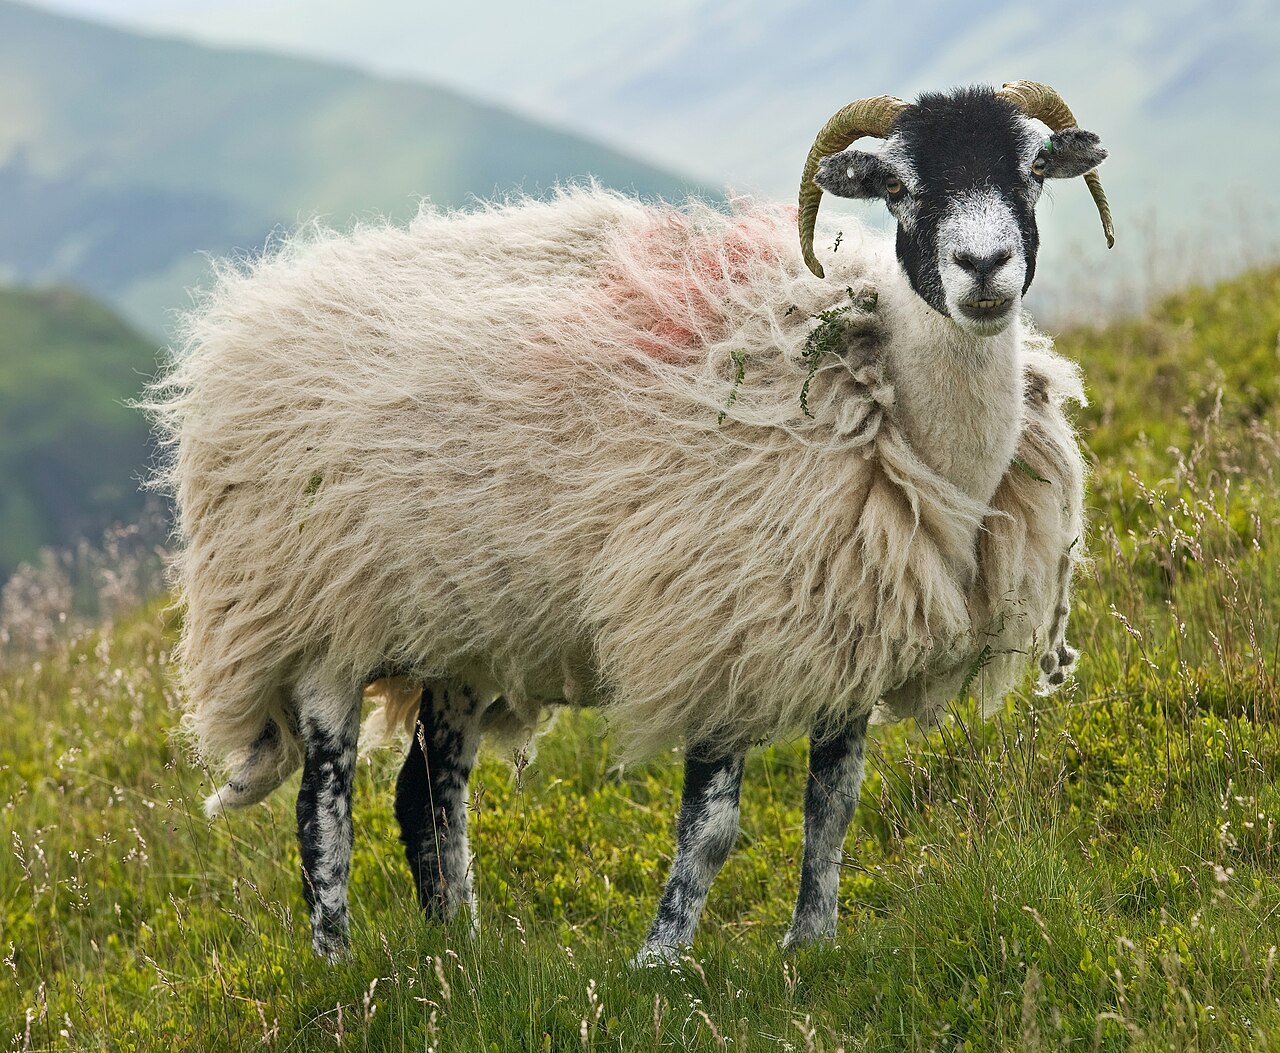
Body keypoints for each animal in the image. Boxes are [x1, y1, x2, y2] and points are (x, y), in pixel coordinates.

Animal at [147, 81, 1111, 963]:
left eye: (1033, 170)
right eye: (901, 187)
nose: (984, 265)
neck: (899, 416)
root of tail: (251, 311)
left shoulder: (849, 632)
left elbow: (832, 808)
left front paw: (811, 944)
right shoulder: (721, 626)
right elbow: (711, 828)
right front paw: (660, 960)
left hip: (459, 631)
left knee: (428, 792)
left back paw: (464, 957)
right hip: (311, 619)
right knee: (324, 806)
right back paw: (341, 966)